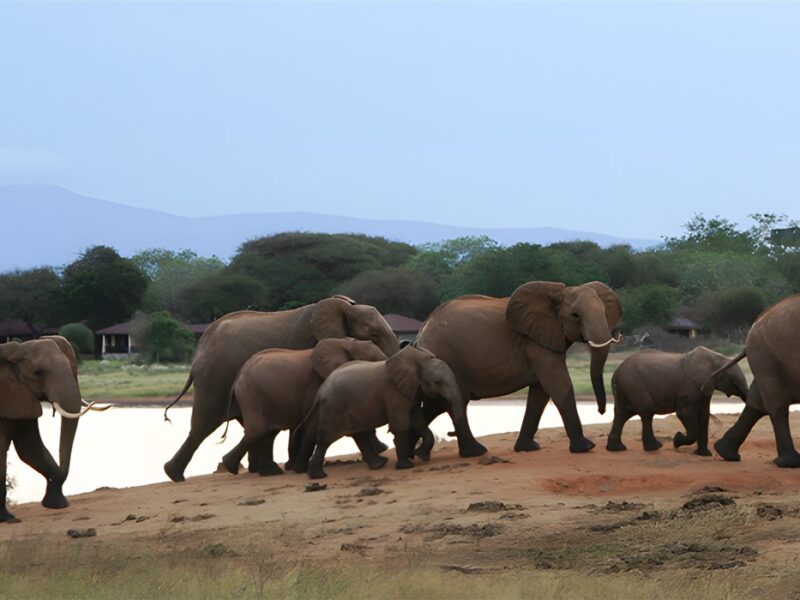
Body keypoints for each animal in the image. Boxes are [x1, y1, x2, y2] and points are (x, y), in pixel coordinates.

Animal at [220, 337, 391, 476]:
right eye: (373, 360)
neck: (346, 343)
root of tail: (239, 374)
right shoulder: (316, 384)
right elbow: (316, 425)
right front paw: (301, 470)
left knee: (268, 432)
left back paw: (267, 471)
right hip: (251, 394)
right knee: (258, 430)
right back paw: (233, 467)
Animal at [293, 345, 464, 479]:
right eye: (437, 382)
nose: (449, 433)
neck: (418, 362)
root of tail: (320, 391)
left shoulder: (411, 393)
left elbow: (417, 422)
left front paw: (422, 456)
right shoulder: (394, 394)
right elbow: (401, 424)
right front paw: (406, 466)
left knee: (358, 434)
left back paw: (379, 464)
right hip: (334, 408)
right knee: (326, 438)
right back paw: (318, 475)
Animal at [415, 281, 622, 457]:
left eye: (605, 312)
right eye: (575, 316)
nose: (601, 411)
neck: (557, 294)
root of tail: (422, 330)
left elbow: (540, 394)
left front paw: (527, 448)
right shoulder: (536, 344)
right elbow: (558, 386)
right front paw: (586, 447)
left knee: (436, 405)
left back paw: (418, 454)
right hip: (446, 357)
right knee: (452, 401)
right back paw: (475, 452)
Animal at [606, 347, 748, 455]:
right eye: (732, 379)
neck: (715, 358)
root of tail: (616, 372)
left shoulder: (704, 389)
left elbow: (704, 416)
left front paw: (705, 455)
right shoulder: (690, 386)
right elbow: (684, 413)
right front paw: (676, 440)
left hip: (627, 388)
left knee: (622, 415)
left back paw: (616, 449)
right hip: (634, 385)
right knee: (646, 412)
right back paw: (655, 448)